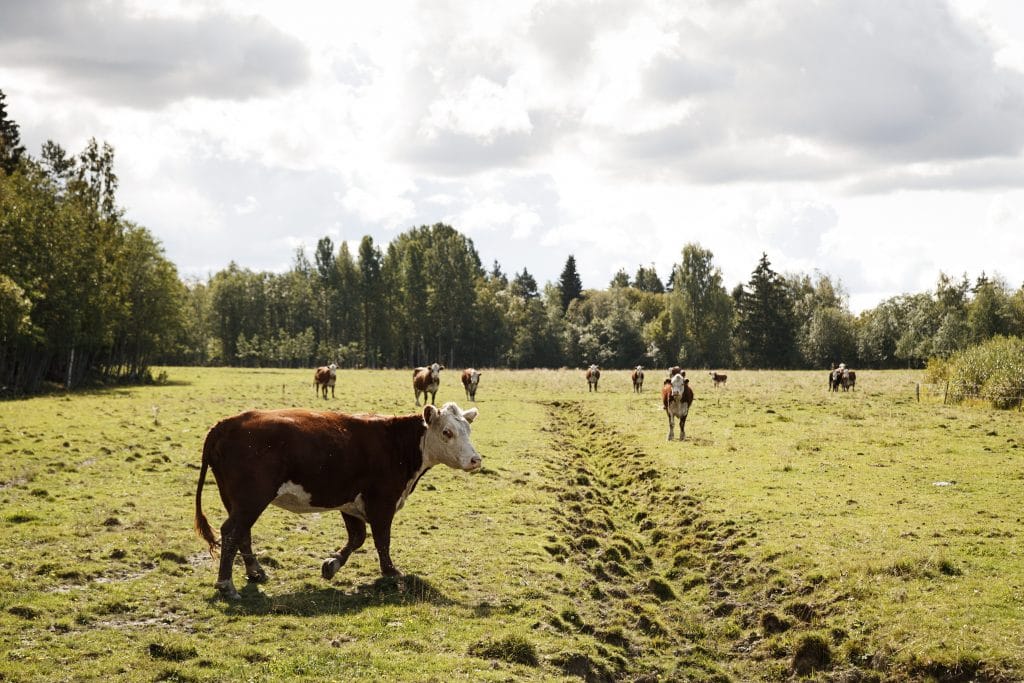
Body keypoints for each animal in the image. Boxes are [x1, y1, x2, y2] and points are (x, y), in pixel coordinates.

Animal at [193, 402, 482, 600]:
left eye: (468, 430)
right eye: (447, 432)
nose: (475, 459)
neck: (396, 442)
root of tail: (226, 424)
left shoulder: (350, 503)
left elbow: (357, 538)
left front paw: (331, 565)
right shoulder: (382, 502)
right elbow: (382, 540)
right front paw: (391, 572)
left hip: (235, 500)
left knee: (242, 533)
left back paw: (255, 571)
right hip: (251, 499)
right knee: (232, 532)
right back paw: (226, 585)